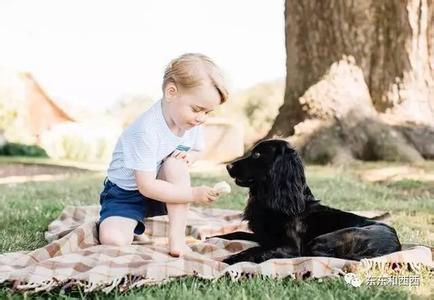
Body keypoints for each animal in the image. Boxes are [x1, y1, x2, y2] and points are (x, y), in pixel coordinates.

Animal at [213, 139, 400, 264]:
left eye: (257, 154)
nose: (228, 166)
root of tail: (396, 245)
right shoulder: (262, 235)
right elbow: (235, 233)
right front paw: (213, 237)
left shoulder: (290, 247)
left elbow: (256, 250)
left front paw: (229, 259)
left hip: (321, 240)